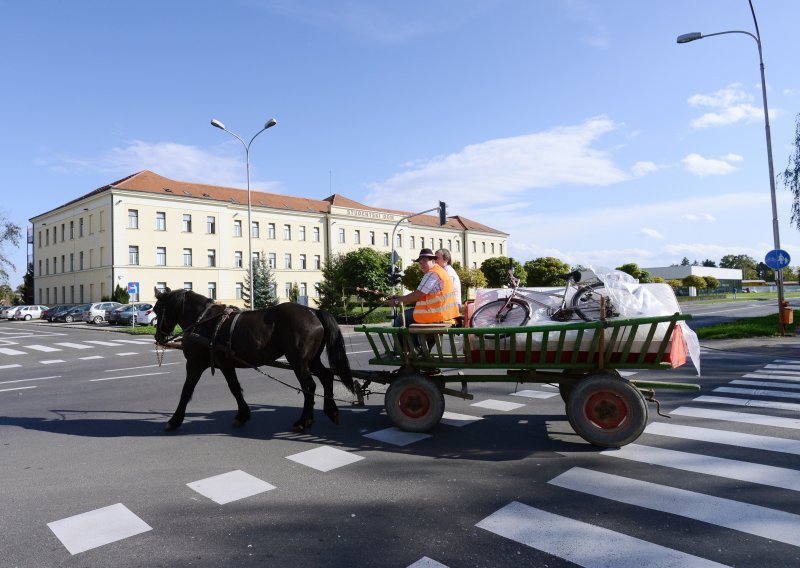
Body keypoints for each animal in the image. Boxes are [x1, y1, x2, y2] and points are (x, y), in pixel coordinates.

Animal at [152, 286, 354, 432]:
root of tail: (314, 312)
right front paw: (242, 415)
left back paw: (303, 421)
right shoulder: (226, 365)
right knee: (326, 377)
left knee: (309, 387)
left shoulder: (194, 365)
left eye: (156, 309)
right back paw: (331, 411)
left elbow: (186, 392)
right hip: (311, 360)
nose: (158, 337)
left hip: (299, 362)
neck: (203, 321)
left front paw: (174, 420)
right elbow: (235, 388)